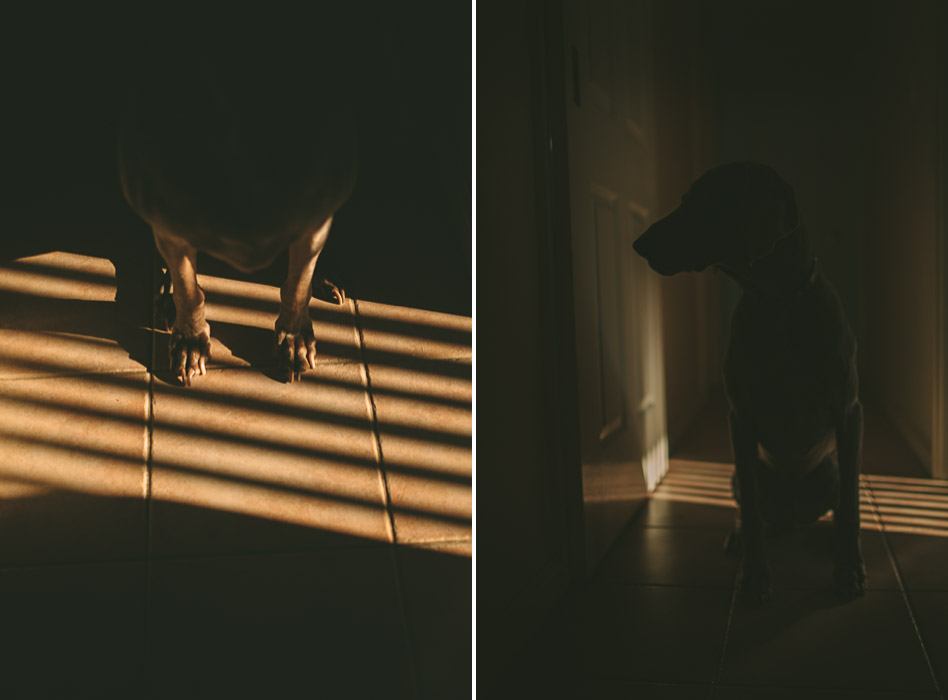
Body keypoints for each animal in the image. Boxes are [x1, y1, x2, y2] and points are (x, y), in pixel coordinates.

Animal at [115, 34, 358, 382]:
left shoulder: (315, 216)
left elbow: (297, 286)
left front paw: (293, 339)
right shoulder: (168, 219)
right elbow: (188, 288)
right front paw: (190, 340)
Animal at [632, 163, 864, 600]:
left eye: (701, 203)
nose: (637, 243)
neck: (780, 304)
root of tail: (791, 516)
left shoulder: (848, 414)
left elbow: (853, 503)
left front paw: (849, 567)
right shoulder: (741, 418)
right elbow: (753, 514)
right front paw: (754, 575)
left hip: (829, 473)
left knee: (839, 501)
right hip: (743, 473)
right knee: (749, 506)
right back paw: (740, 538)